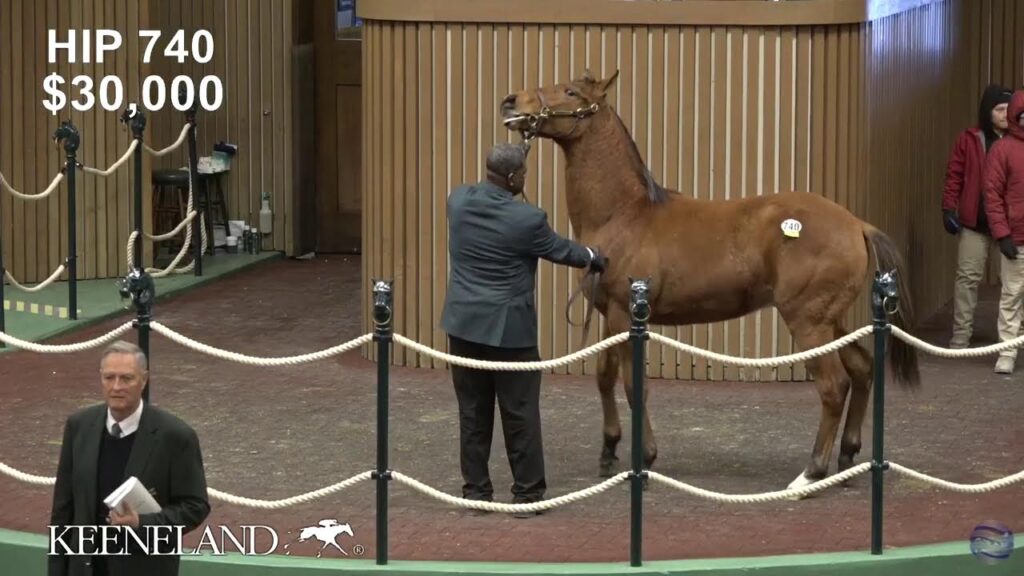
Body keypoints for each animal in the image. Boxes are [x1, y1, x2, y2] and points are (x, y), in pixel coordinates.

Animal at [499, 69, 925, 485]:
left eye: (570, 92)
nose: (511, 101)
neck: (624, 214)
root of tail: (857, 224)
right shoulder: (610, 316)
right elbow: (604, 378)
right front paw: (608, 450)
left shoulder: (625, 316)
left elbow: (635, 387)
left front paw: (645, 458)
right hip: (831, 322)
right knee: (862, 370)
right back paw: (847, 456)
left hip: (810, 324)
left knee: (834, 385)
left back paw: (811, 473)